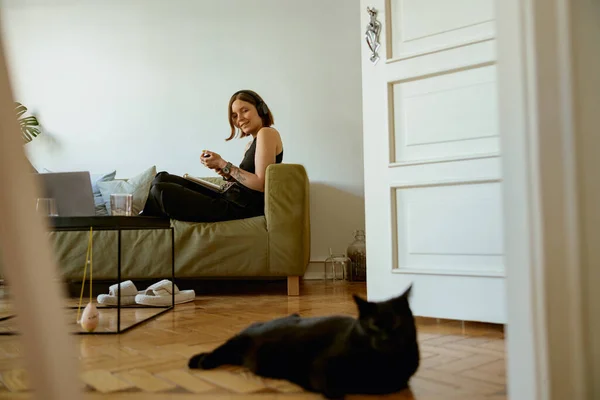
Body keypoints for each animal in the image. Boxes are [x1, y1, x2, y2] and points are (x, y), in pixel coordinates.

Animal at [188, 284, 418, 400]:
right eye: (373, 326)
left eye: (397, 324)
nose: (385, 339)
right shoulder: (321, 367)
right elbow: (332, 389)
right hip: (242, 340)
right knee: (222, 348)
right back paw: (201, 361)